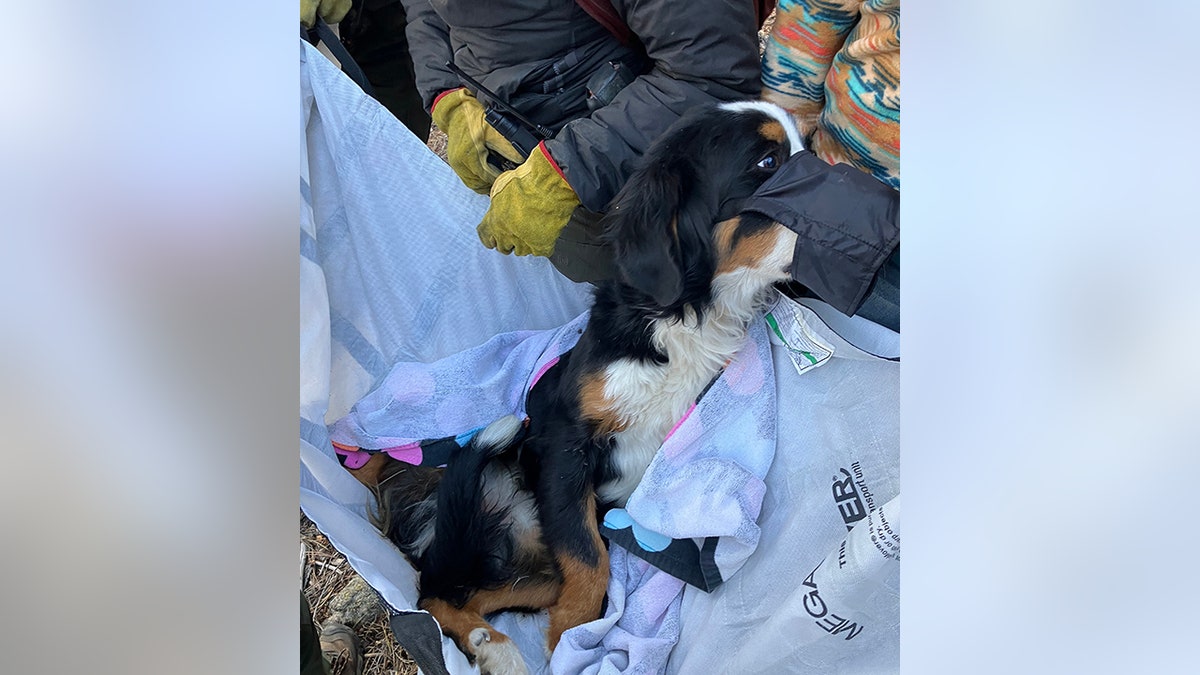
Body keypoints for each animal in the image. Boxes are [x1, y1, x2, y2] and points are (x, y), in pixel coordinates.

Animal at [372, 100, 806, 672]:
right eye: (767, 163)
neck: (685, 317)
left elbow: (591, 552)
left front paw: (570, 636)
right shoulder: (567, 438)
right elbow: (587, 553)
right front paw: (572, 637)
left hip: (529, 566)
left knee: (465, 592)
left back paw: (492, 645)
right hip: (477, 517)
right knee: (435, 590)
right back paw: (498, 647)